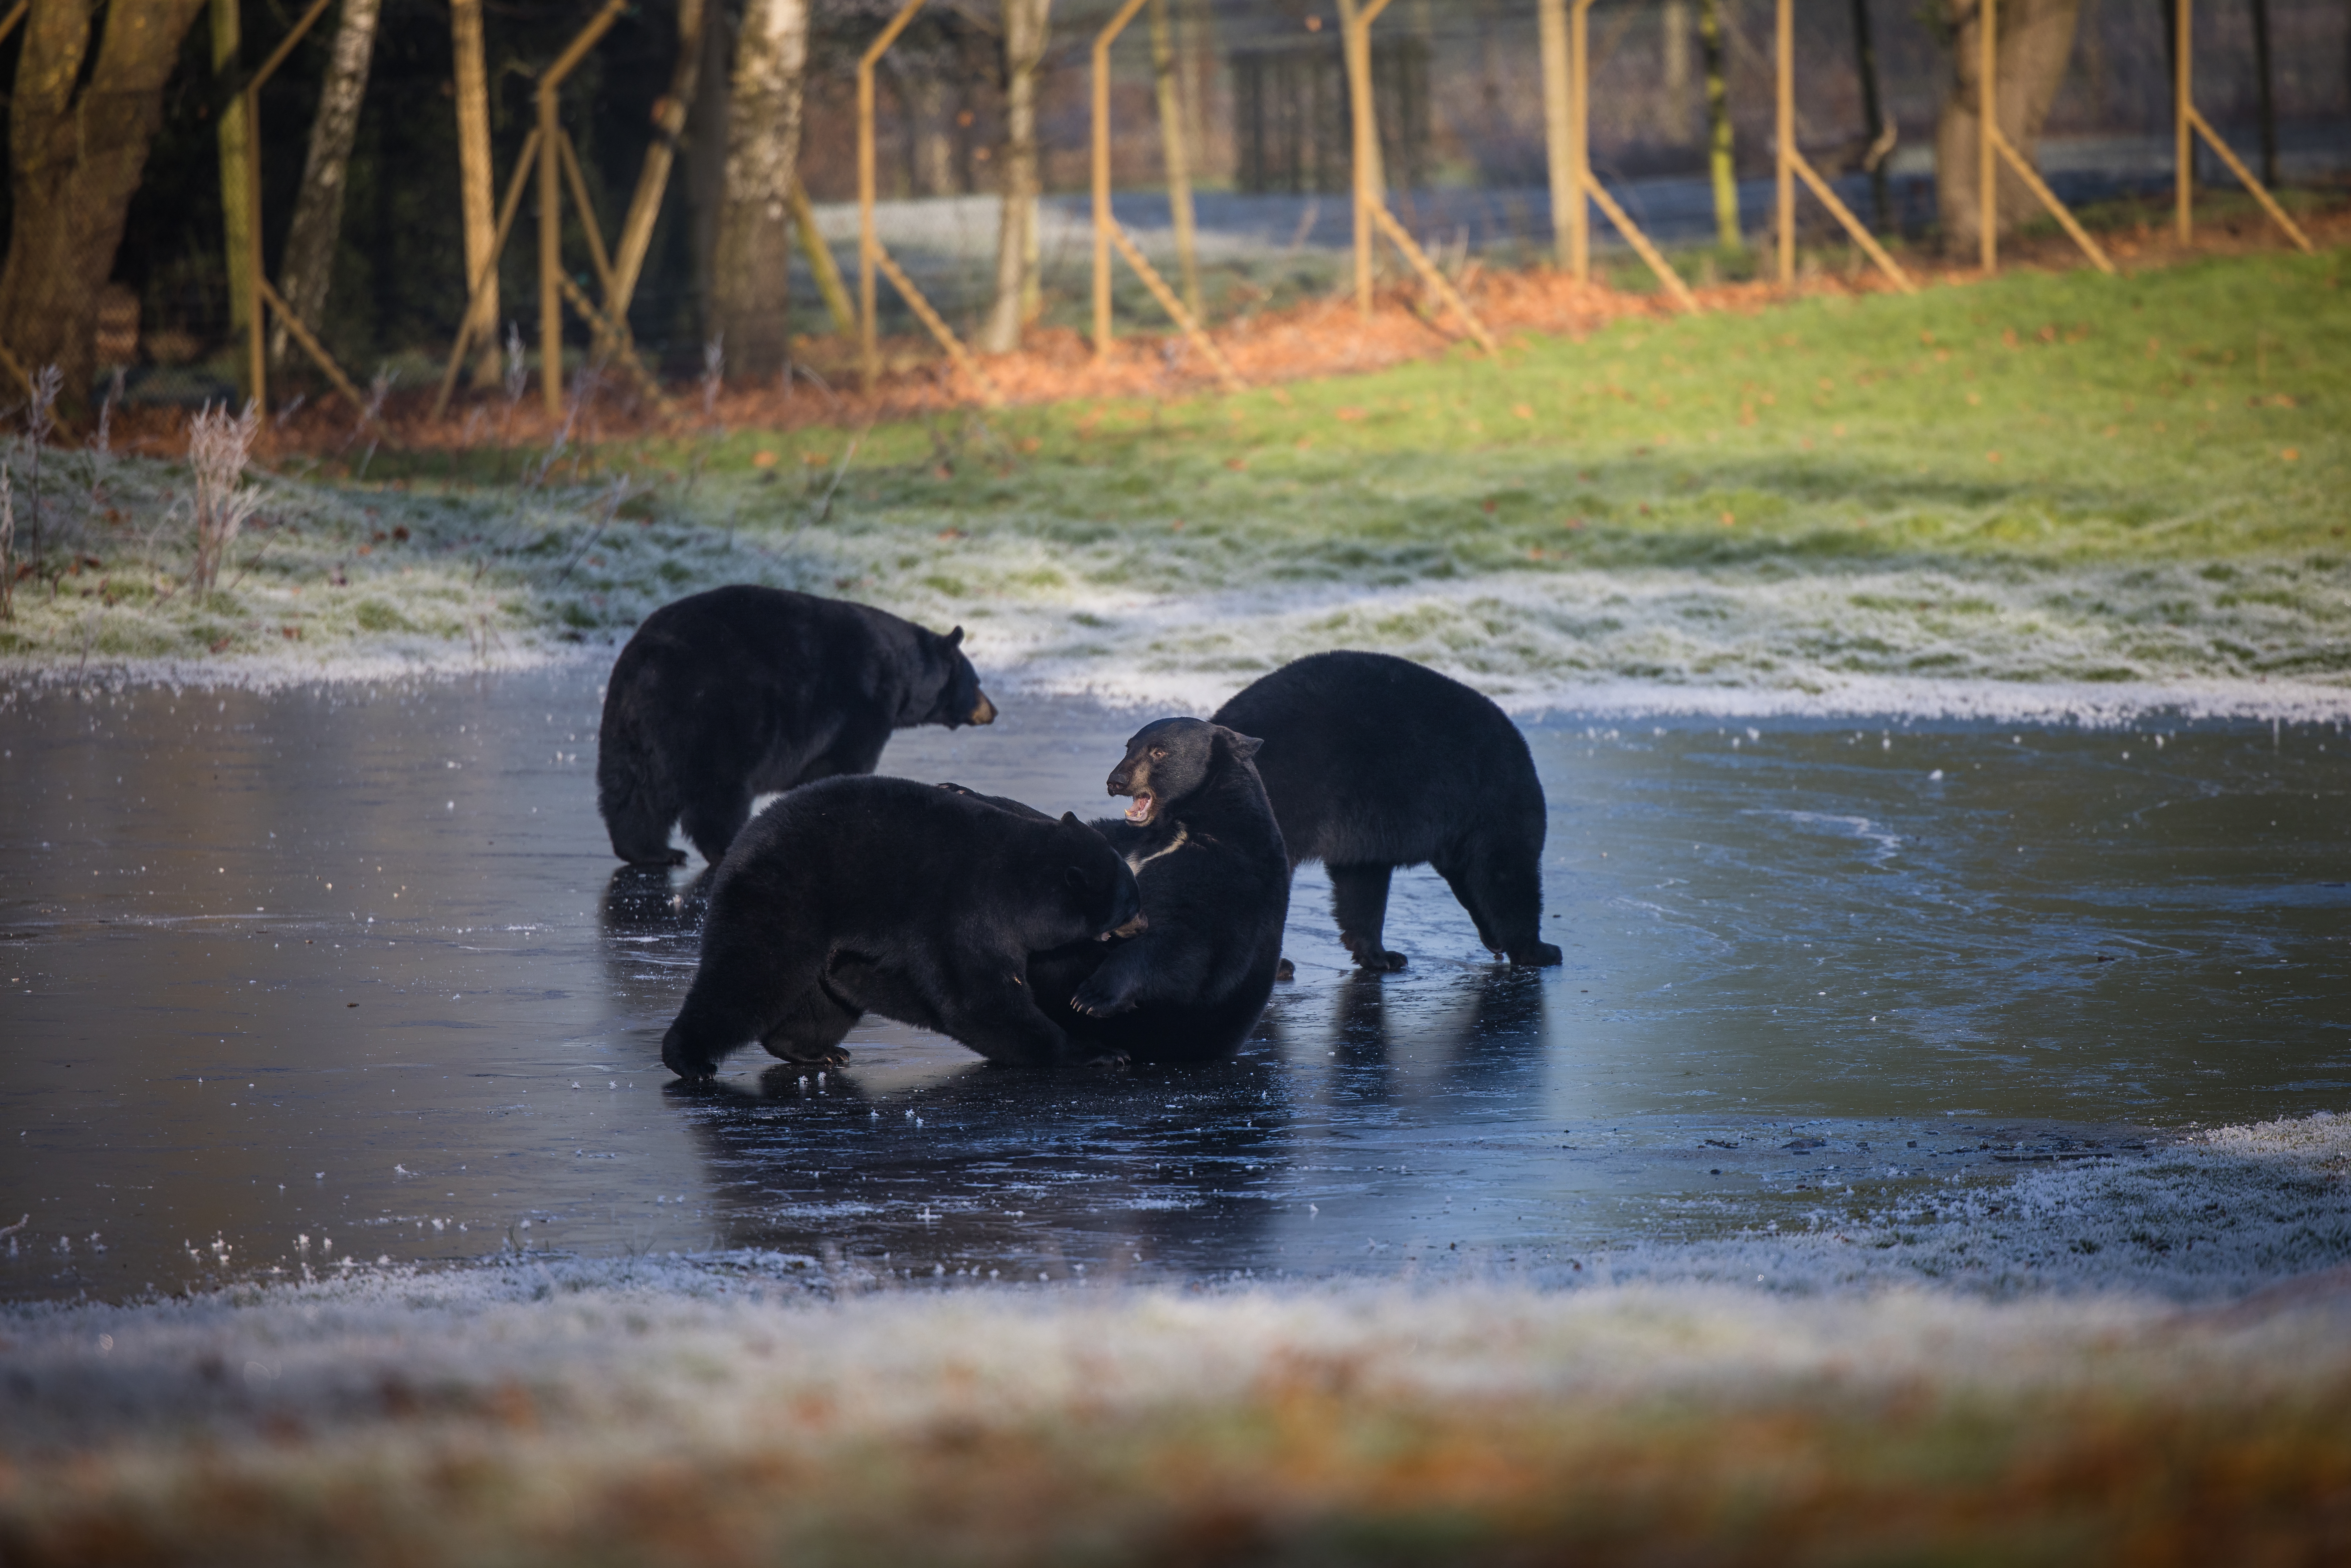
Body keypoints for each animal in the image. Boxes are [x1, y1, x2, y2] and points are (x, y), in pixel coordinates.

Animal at [602, 583, 997, 865]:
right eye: (977, 681)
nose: (993, 710)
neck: (900, 670)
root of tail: (649, 666)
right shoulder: (861, 705)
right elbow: (842, 764)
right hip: (716, 715)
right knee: (718, 791)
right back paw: (727, 845)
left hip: (626, 727)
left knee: (631, 794)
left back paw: (653, 852)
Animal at [658, 771, 1142, 1081]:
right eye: (1130, 899)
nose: (1143, 921)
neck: (1021, 878)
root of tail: (741, 845)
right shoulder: (969, 911)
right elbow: (977, 999)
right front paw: (1097, 1052)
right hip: (785, 898)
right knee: (750, 973)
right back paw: (689, 1058)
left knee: (819, 999)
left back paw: (814, 1050)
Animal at [935, 724, 1298, 1067]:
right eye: (1129, 746)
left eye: (1159, 751)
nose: (1116, 781)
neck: (1176, 825)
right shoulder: (1125, 841)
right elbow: (1069, 837)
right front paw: (957, 790)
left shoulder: (1226, 869)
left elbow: (1185, 940)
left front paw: (1093, 996)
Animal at [1213, 649, 1561, 968]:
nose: (1494, 946)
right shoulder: (1492, 804)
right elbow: (1505, 873)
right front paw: (1539, 950)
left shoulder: (1364, 827)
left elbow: (1361, 883)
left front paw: (1381, 955)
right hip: (1284, 793)